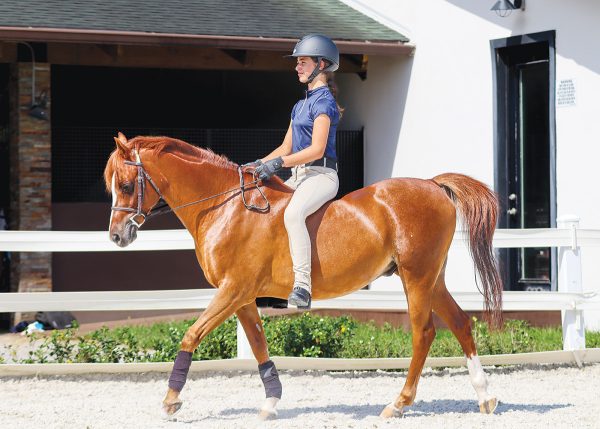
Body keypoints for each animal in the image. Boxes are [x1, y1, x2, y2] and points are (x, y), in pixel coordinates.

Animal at [104, 133, 502, 418]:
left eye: (126, 185)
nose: (117, 236)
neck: (226, 206)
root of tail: (433, 184)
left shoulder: (233, 290)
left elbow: (191, 335)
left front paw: (170, 400)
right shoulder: (242, 295)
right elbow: (258, 343)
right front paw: (270, 403)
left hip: (416, 277)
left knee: (424, 332)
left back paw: (398, 403)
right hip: (433, 279)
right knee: (461, 323)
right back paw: (485, 397)